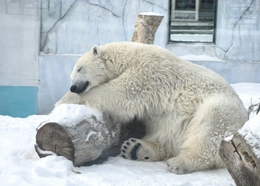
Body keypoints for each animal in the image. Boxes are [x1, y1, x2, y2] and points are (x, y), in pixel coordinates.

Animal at [56, 41, 248, 174]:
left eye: (79, 68)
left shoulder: (147, 72)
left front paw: (62, 102)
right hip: (173, 124)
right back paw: (135, 148)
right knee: (165, 135)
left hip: (226, 111)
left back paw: (180, 162)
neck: (128, 57)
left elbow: (120, 93)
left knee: (210, 126)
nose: (73, 87)